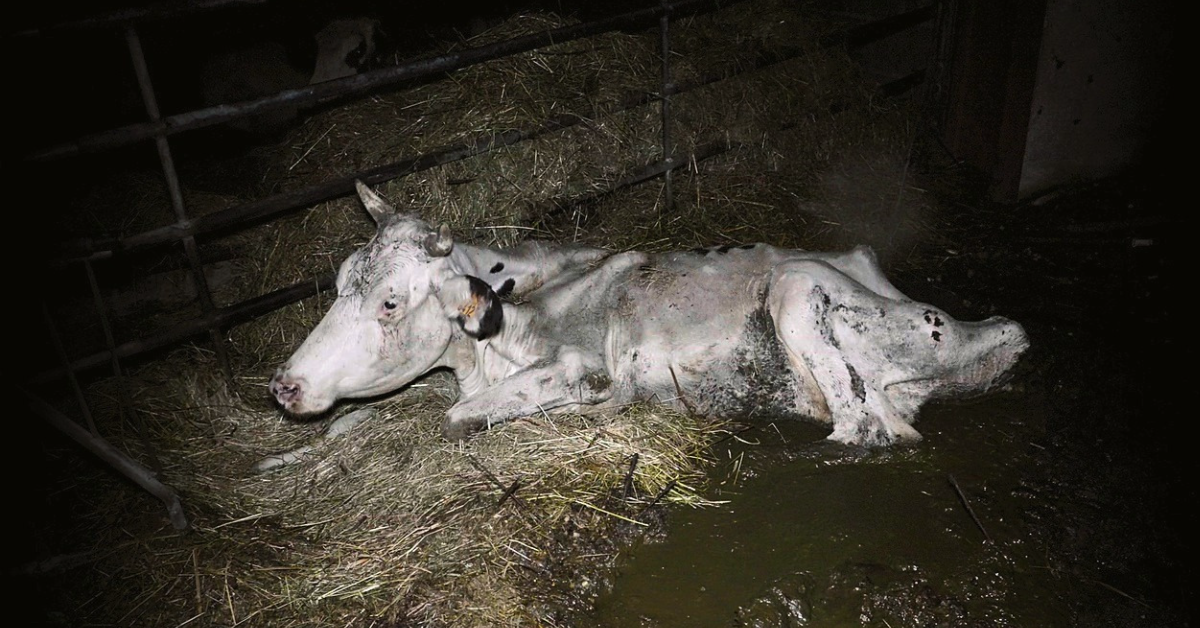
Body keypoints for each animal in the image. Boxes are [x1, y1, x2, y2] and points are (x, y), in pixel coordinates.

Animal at [269, 181, 1029, 447]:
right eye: (339, 282)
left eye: (390, 302)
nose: (284, 385)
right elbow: (359, 421)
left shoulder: (576, 363)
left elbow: (457, 417)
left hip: (798, 288)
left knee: (864, 428)